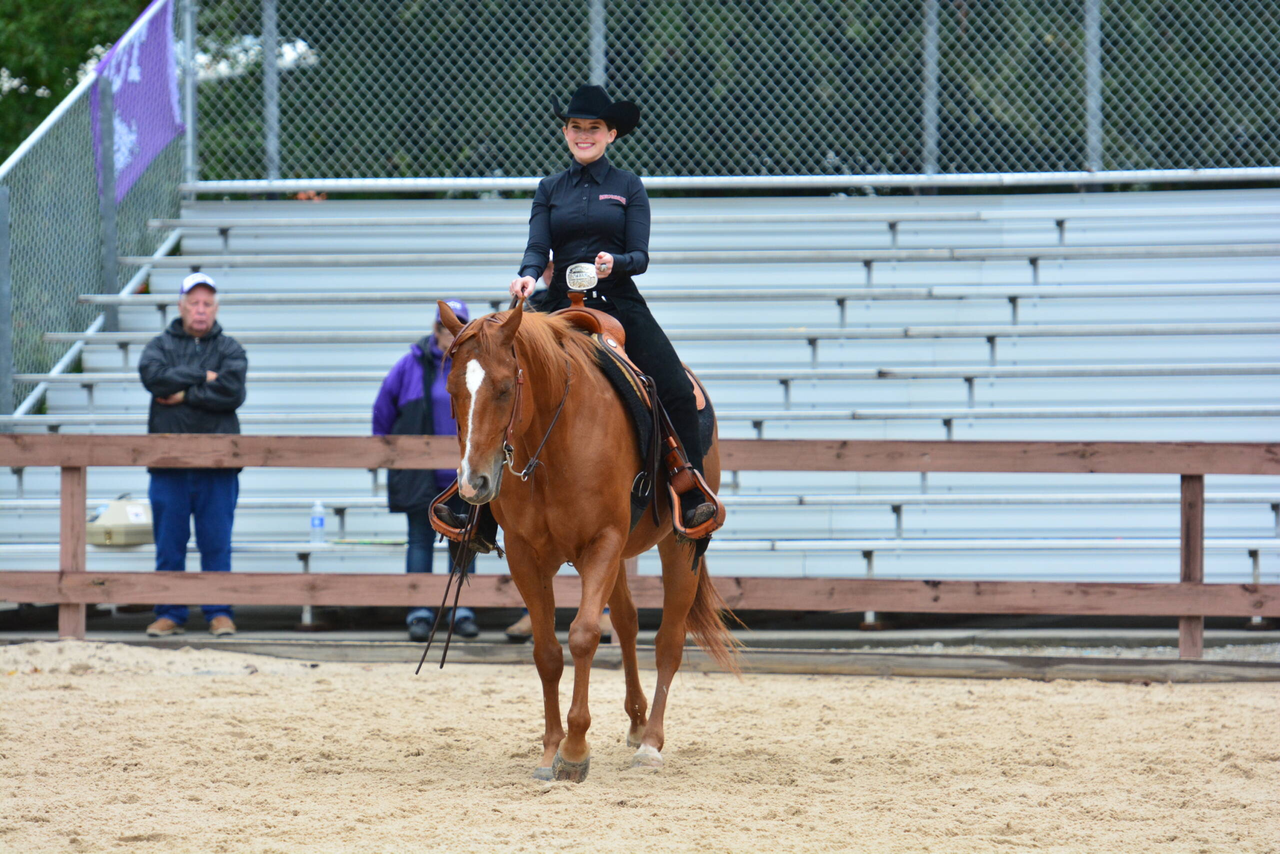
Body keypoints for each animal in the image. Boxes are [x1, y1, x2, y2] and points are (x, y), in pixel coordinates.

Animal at [435, 299, 738, 782]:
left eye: (504, 388)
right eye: (450, 390)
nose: (473, 484)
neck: (554, 443)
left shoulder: (603, 542)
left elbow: (583, 635)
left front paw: (575, 750)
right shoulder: (525, 555)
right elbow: (548, 652)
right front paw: (550, 751)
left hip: (679, 548)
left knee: (668, 641)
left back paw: (650, 744)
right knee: (629, 623)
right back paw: (636, 722)